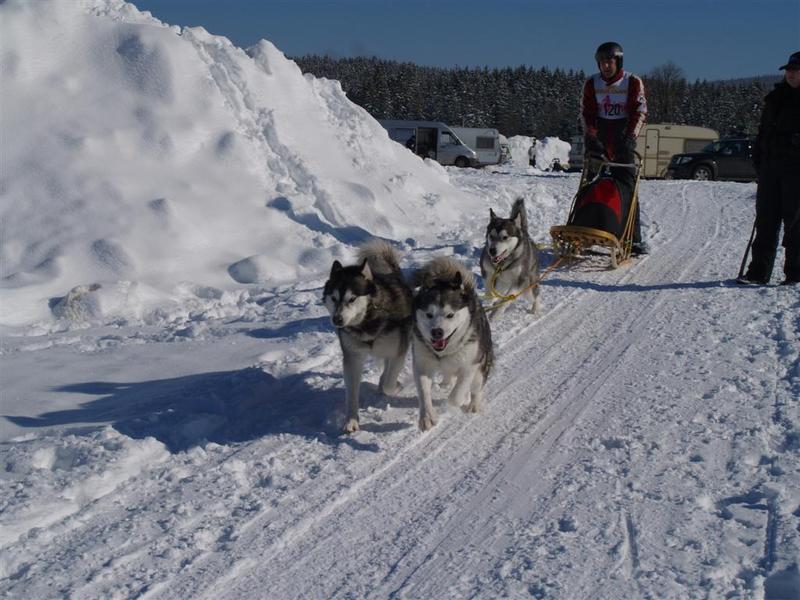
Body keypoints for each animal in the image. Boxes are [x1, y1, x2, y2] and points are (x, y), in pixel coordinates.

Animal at [324, 241, 412, 434]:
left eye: (352, 298)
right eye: (333, 298)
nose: (337, 319)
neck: (367, 322)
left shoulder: (398, 351)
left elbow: (389, 383)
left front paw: (395, 386)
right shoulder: (352, 358)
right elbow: (351, 393)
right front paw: (351, 420)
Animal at [412, 258, 494, 432]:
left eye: (450, 315)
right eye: (429, 314)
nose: (437, 332)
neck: (444, 351)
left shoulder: (470, 365)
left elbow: (456, 395)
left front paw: (457, 402)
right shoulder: (421, 365)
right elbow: (423, 392)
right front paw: (426, 417)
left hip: (481, 368)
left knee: (476, 389)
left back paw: (473, 404)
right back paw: (445, 382)